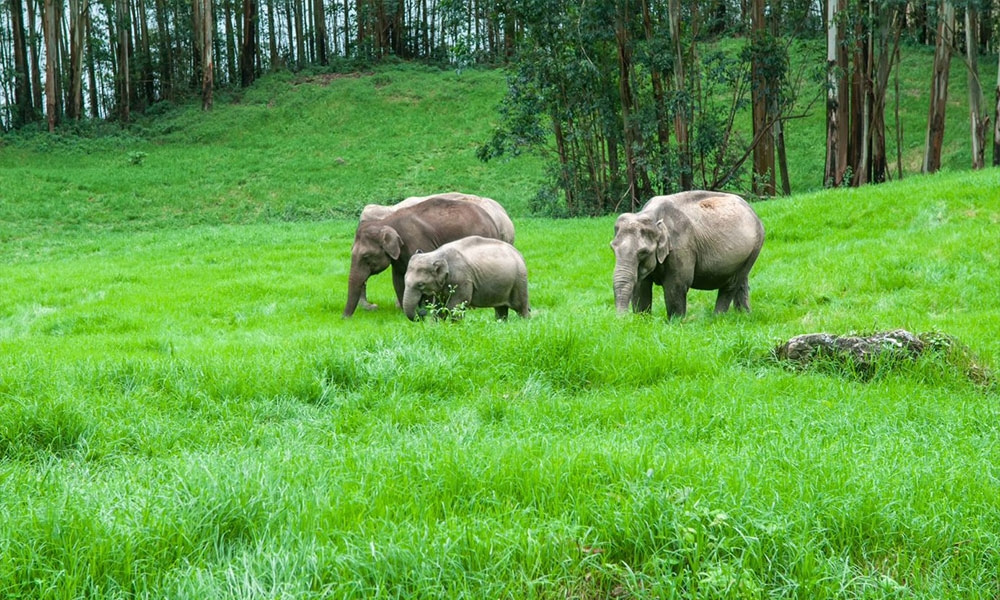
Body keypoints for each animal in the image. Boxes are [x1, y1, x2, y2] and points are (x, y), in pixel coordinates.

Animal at [344, 198, 504, 318]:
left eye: (366, 256)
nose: (344, 318)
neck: (386, 221)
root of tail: (493, 222)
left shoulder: (418, 243)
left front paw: (426, 309)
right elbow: (398, 279)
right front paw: (405, 313)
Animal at [400, 236, 532, 324]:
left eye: (420, 284)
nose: (422, 314)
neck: (436, 254)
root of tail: (519, 254)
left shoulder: (462, 278)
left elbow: (456, 304)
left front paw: (455, 326)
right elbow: (438, 306)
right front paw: (436, 326)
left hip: (519, 280)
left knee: (520, 306)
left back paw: (525, 323)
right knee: (501, 308)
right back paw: (501, 323)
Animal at [608, 191, 764, 318]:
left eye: (643, 252)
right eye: (612, 248)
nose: (622, 320)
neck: (650, 215)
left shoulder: (682, 246)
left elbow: (677, 284)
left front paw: (675, 323)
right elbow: (641, 286)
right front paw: (642, 320)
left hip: (755, 248)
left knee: (731, 283)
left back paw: (717, 318)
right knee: (741, 281)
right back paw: (744, 315)